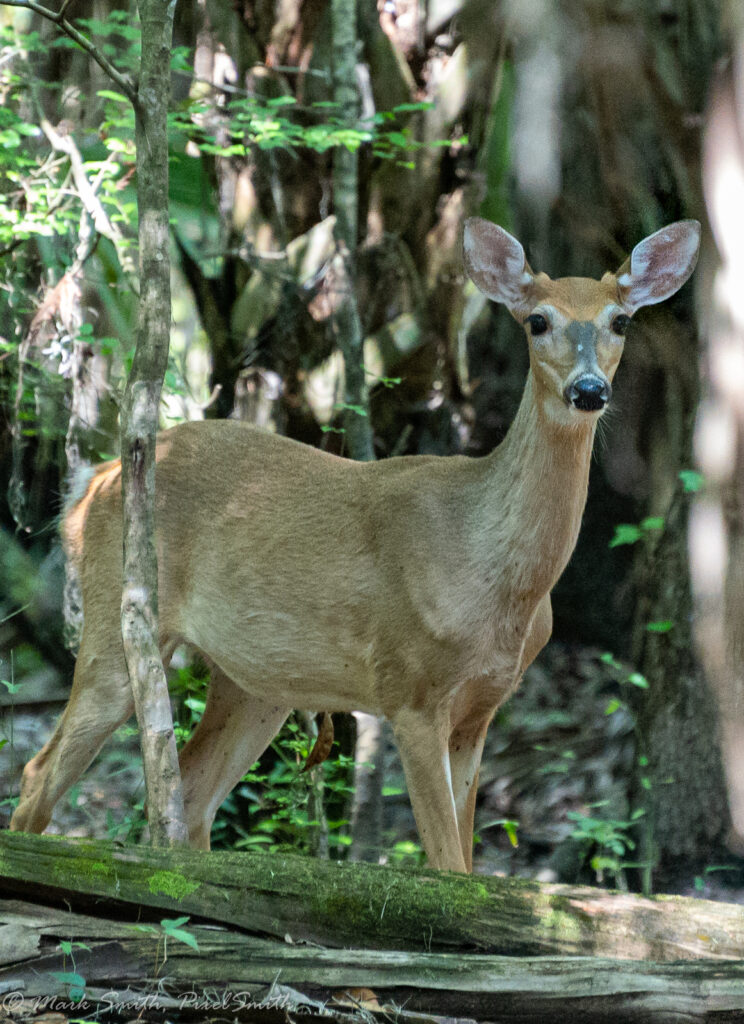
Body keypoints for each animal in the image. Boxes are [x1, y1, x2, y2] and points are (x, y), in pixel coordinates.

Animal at [8, 218, 699, 872]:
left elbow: (469, 861)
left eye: (619, 321)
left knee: (195, 793)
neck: (494, 575)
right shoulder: (410, 689)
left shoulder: (480, 709)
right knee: (40, 772)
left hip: (256, 680)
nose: (589, 390)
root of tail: (88, 486)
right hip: (116, 615)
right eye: (537, 320)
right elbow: (449, 868)